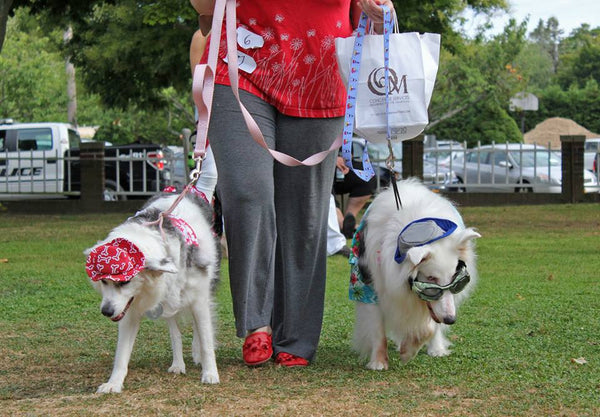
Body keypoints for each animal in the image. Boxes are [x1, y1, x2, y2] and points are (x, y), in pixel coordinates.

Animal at [84, 190, 220, 392]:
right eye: (103, 280)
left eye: (125, 281)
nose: (106, 312)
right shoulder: (129, 311)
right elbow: (121, 353)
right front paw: (114, 383)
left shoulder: (200, 300)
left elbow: (206, 340)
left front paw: (210, 373)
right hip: (170, 301)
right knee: (174, 332)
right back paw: (178, 364)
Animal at [350, 178, 480, 368]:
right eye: (431, 278)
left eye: (454, 278)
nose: (450, 319)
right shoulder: (369, 286)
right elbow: (377, 328)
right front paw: (378, 362)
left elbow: (429, 326)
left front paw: (408, 350)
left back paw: (436, 349)